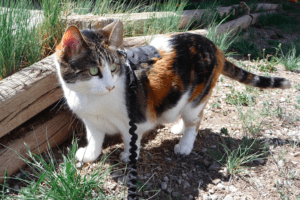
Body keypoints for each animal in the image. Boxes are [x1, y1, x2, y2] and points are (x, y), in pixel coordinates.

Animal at [54, 20, 290, 163]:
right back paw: (178, 127)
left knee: (196, 120)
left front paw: (129, 156)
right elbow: (95, 138)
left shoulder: (136, 119)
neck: (92, 100)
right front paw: (90, 155)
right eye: (94, 71)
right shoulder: (91, 122)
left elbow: (131, 139)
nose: (111, 86)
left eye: (113, 68)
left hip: (197, 97)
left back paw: (184, 144)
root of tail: (215, 47)